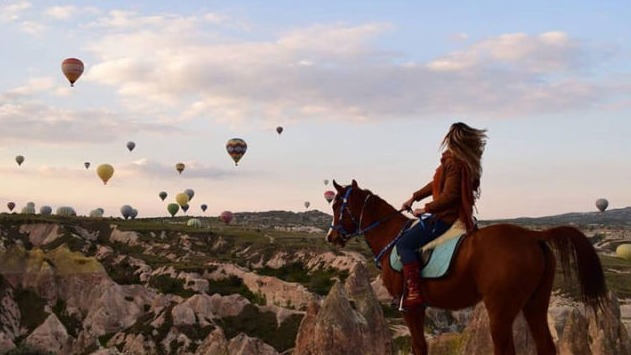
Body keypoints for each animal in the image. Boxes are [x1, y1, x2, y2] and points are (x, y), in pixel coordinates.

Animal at [326, 181, 608, 355]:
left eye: (338, 205)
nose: (331, 237)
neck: (392, 236)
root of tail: (532, 236)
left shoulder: (409, 306)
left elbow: (419, 346)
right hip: (535, 305)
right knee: (545, 346)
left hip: (500, 311)